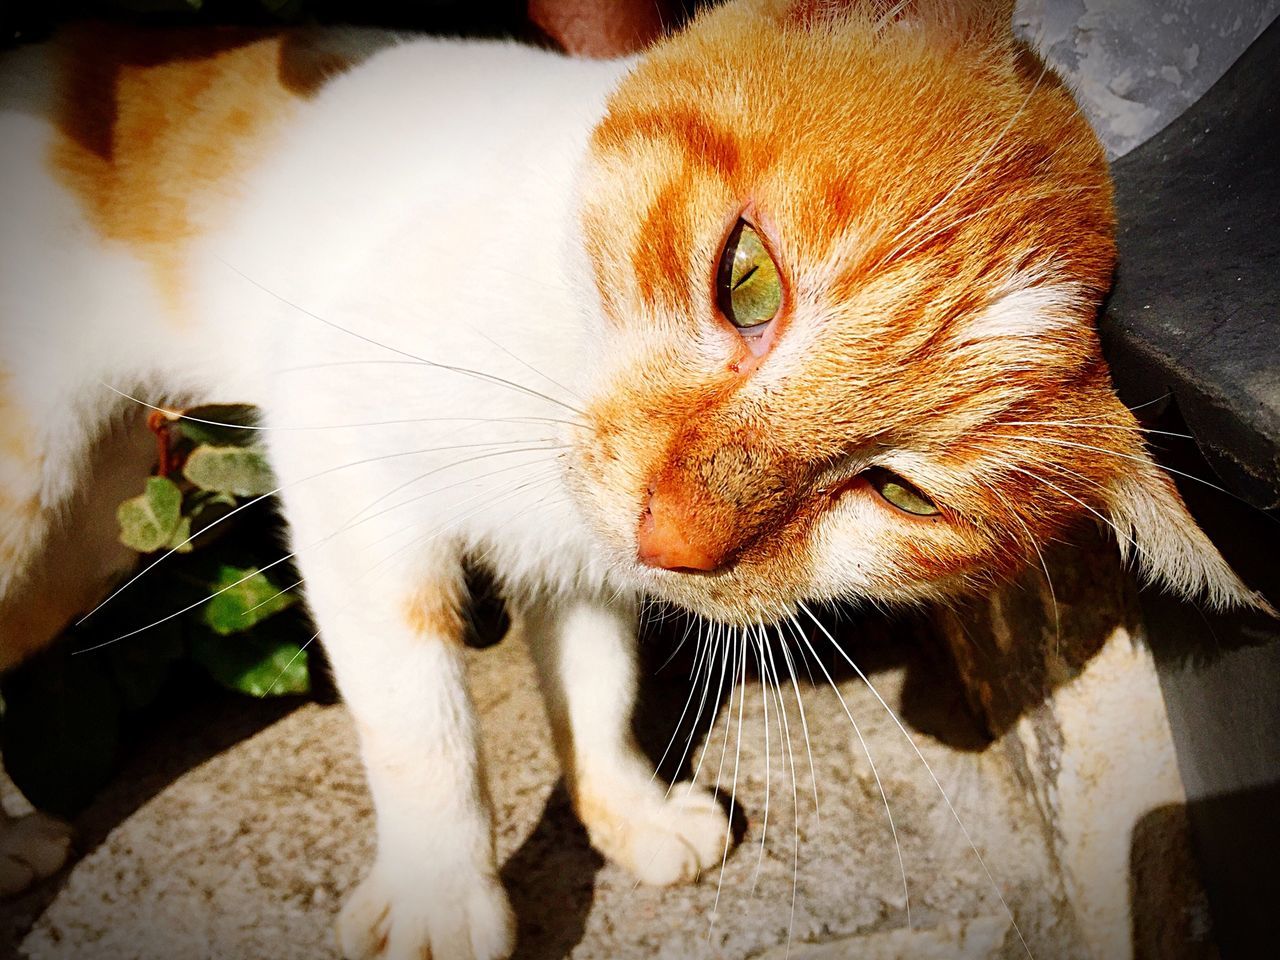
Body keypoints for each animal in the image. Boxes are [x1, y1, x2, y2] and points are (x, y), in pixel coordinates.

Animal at [0, 1, 1259, 960]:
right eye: (747, 279)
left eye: (903, 495)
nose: (678, 540)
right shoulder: (343, 465)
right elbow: (419, 719)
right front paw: (440, 895)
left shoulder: (582, 559)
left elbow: (595, 678)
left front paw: (627, 810)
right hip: (41, 492)